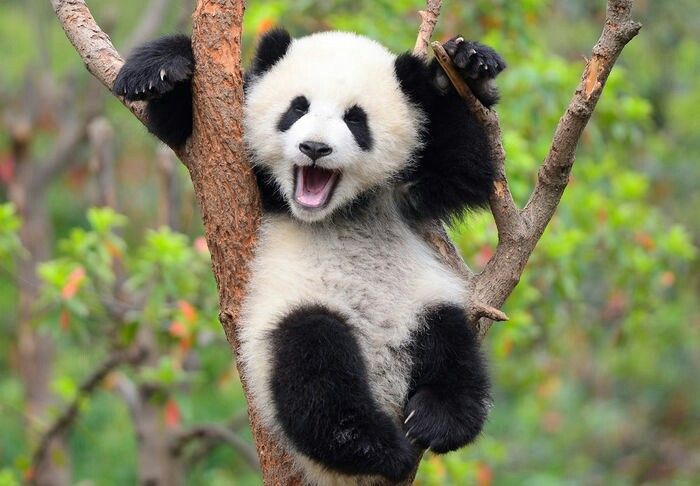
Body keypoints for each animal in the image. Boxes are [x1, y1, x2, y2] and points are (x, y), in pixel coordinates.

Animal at [114, 28, 505, 485]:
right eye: (297, 108)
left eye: (355, 119)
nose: (315, 147)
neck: (334, 212)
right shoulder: (250, 177)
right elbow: (188, 128)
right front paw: (159, 70)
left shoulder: (407, 190)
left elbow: (467, 167)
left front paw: (466, 65)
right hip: (292, 315)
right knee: (314, 366)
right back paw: (375, 447)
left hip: (419, 306)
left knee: (452, 349)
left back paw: (434, 420)